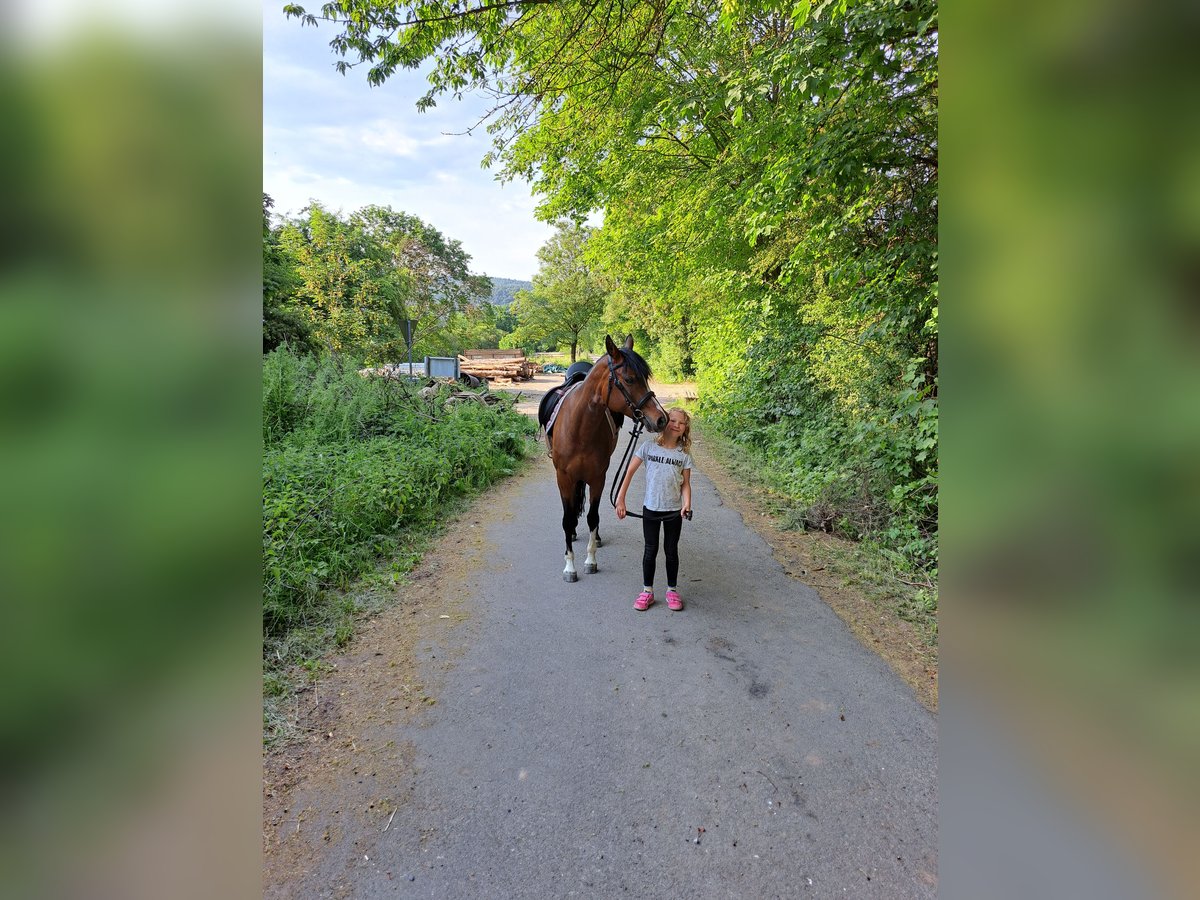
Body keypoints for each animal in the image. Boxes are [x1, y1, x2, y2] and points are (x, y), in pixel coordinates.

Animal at [542, 338, 667, 585]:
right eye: (629, 379)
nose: (660, 419)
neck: (580, 427)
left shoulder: (598, 478)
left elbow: (593, 516)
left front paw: (590, 560)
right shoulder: (564, 478)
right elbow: (567, 518)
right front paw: (569, 566)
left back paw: (596, 538)